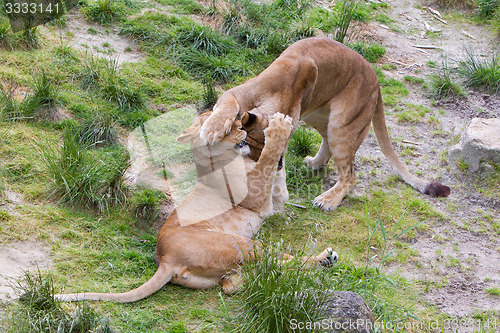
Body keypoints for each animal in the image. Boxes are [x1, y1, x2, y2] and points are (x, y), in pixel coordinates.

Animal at [53, 113, 336, 302]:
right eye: (228, 127)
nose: (242, 130)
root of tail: (166, 259)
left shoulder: (272, 198)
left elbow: (276, 171)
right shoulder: (256, 197)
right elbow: (267, 159)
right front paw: (279, 127)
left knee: (232, 283)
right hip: (240, 244)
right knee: (278, 261)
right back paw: (325, 258)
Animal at [200, 36, 454, 209]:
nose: (250, 173)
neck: (282, 99)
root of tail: (376, 80)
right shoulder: (237, 93)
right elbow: (227, 107)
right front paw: (212, 129)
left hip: (342, 124)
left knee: (350, 174)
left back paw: (328, 199)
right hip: (319, 115)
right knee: (327, 143)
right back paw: (314, 163)